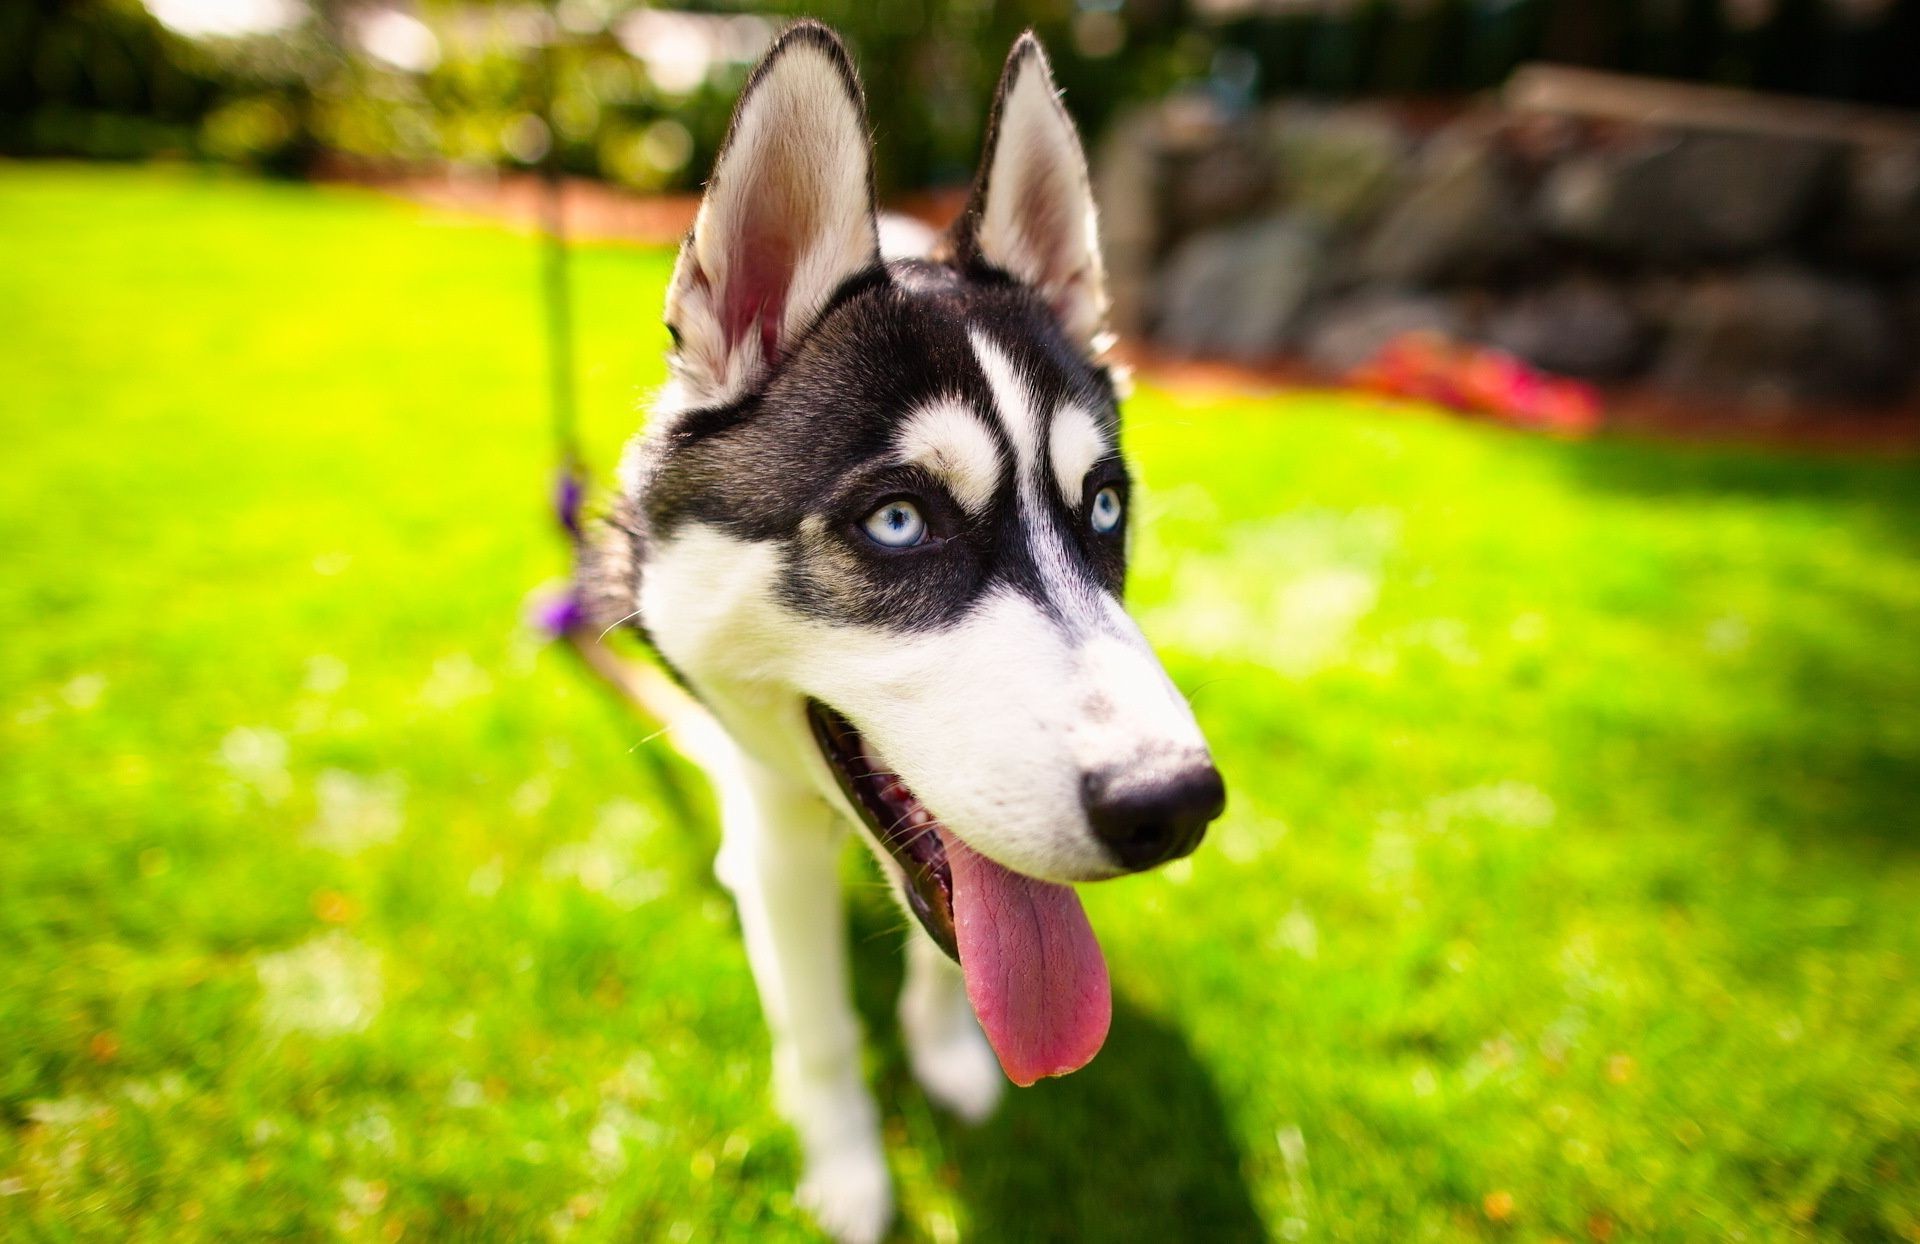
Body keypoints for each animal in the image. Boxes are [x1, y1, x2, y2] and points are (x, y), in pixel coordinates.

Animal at [579, 21, 1228, 1244]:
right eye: (897, 522)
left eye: (1103, 507)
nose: (1172, 803)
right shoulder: (776, 825)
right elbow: (820, 1026)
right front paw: (846, 1170)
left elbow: (961, 945)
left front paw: (947, 1054)